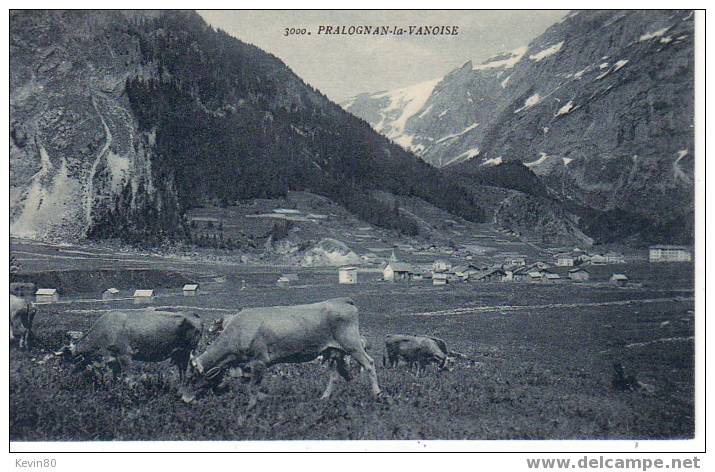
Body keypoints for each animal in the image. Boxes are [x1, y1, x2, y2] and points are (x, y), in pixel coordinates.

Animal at [63, 310, 201, 380]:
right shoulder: (114, 360)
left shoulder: (125, 356)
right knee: (182, 371)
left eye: (70, 360)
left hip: (186, 352)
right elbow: (115, 378)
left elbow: (127, 378)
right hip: (179, 354)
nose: (66, 376)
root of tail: (194, 315)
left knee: (185, 371)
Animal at [179, 298, 380, 406]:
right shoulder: (247, 365)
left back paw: (377, 393)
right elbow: (247, 384)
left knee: (369, 364)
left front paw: (252, 406)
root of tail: (341, 300)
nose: (183, 399)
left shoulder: (259, 361)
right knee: (334, 375)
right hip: (333, 351)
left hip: (352, 344)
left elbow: (253, 387)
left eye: (192, 379)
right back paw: (324, 397)